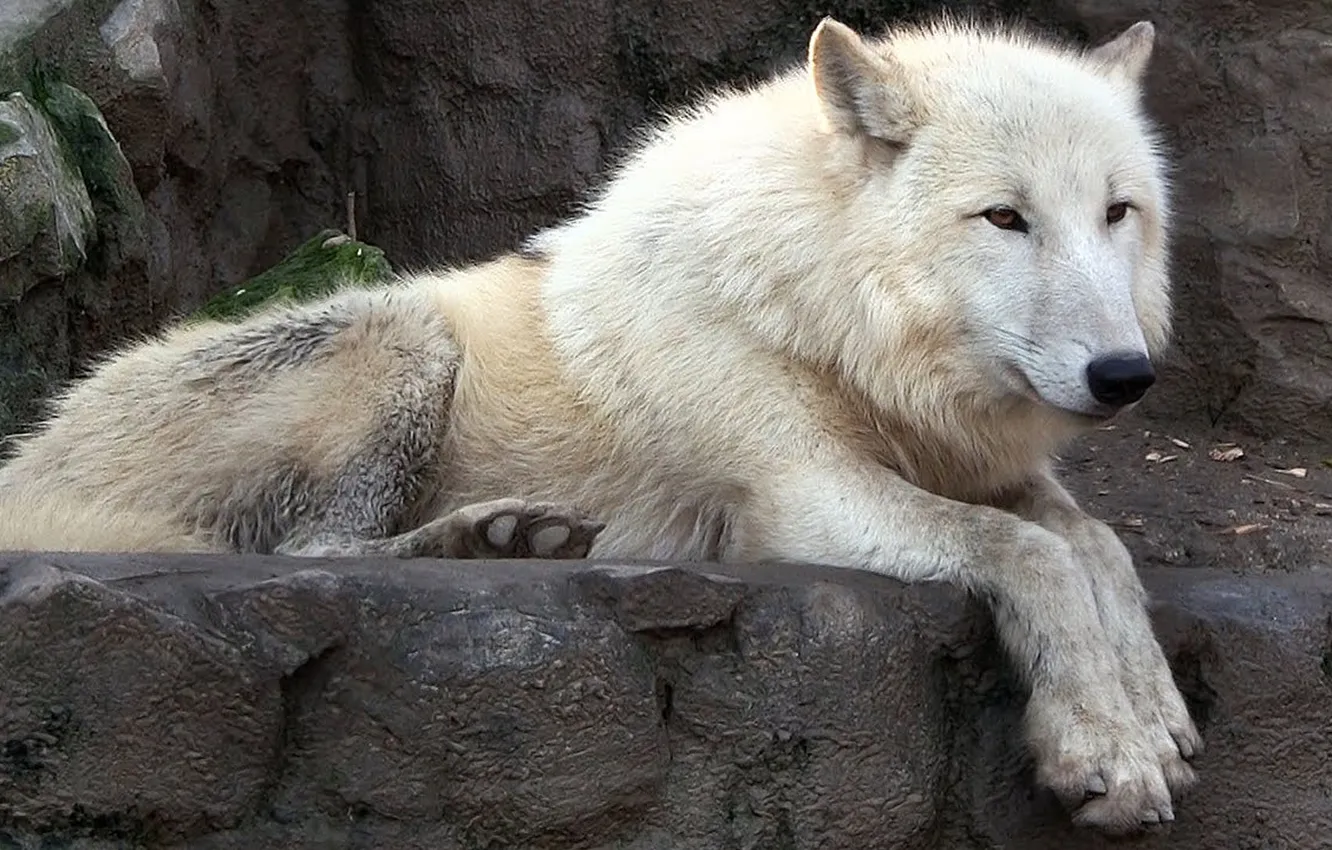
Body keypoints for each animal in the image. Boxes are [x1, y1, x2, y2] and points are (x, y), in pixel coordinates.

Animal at [0, 15, 1199, 833]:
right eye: (1004, 217)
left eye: (1117, 212)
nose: (1124, 374)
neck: (820, 310)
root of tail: (31, 457)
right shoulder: (806, 493)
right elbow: (1034, 553)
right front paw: (1102, 747)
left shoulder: (973, 464)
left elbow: (1096, 543)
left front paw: (1152, 715)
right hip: (403, 336)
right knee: (314, 554)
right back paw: (491, 540)